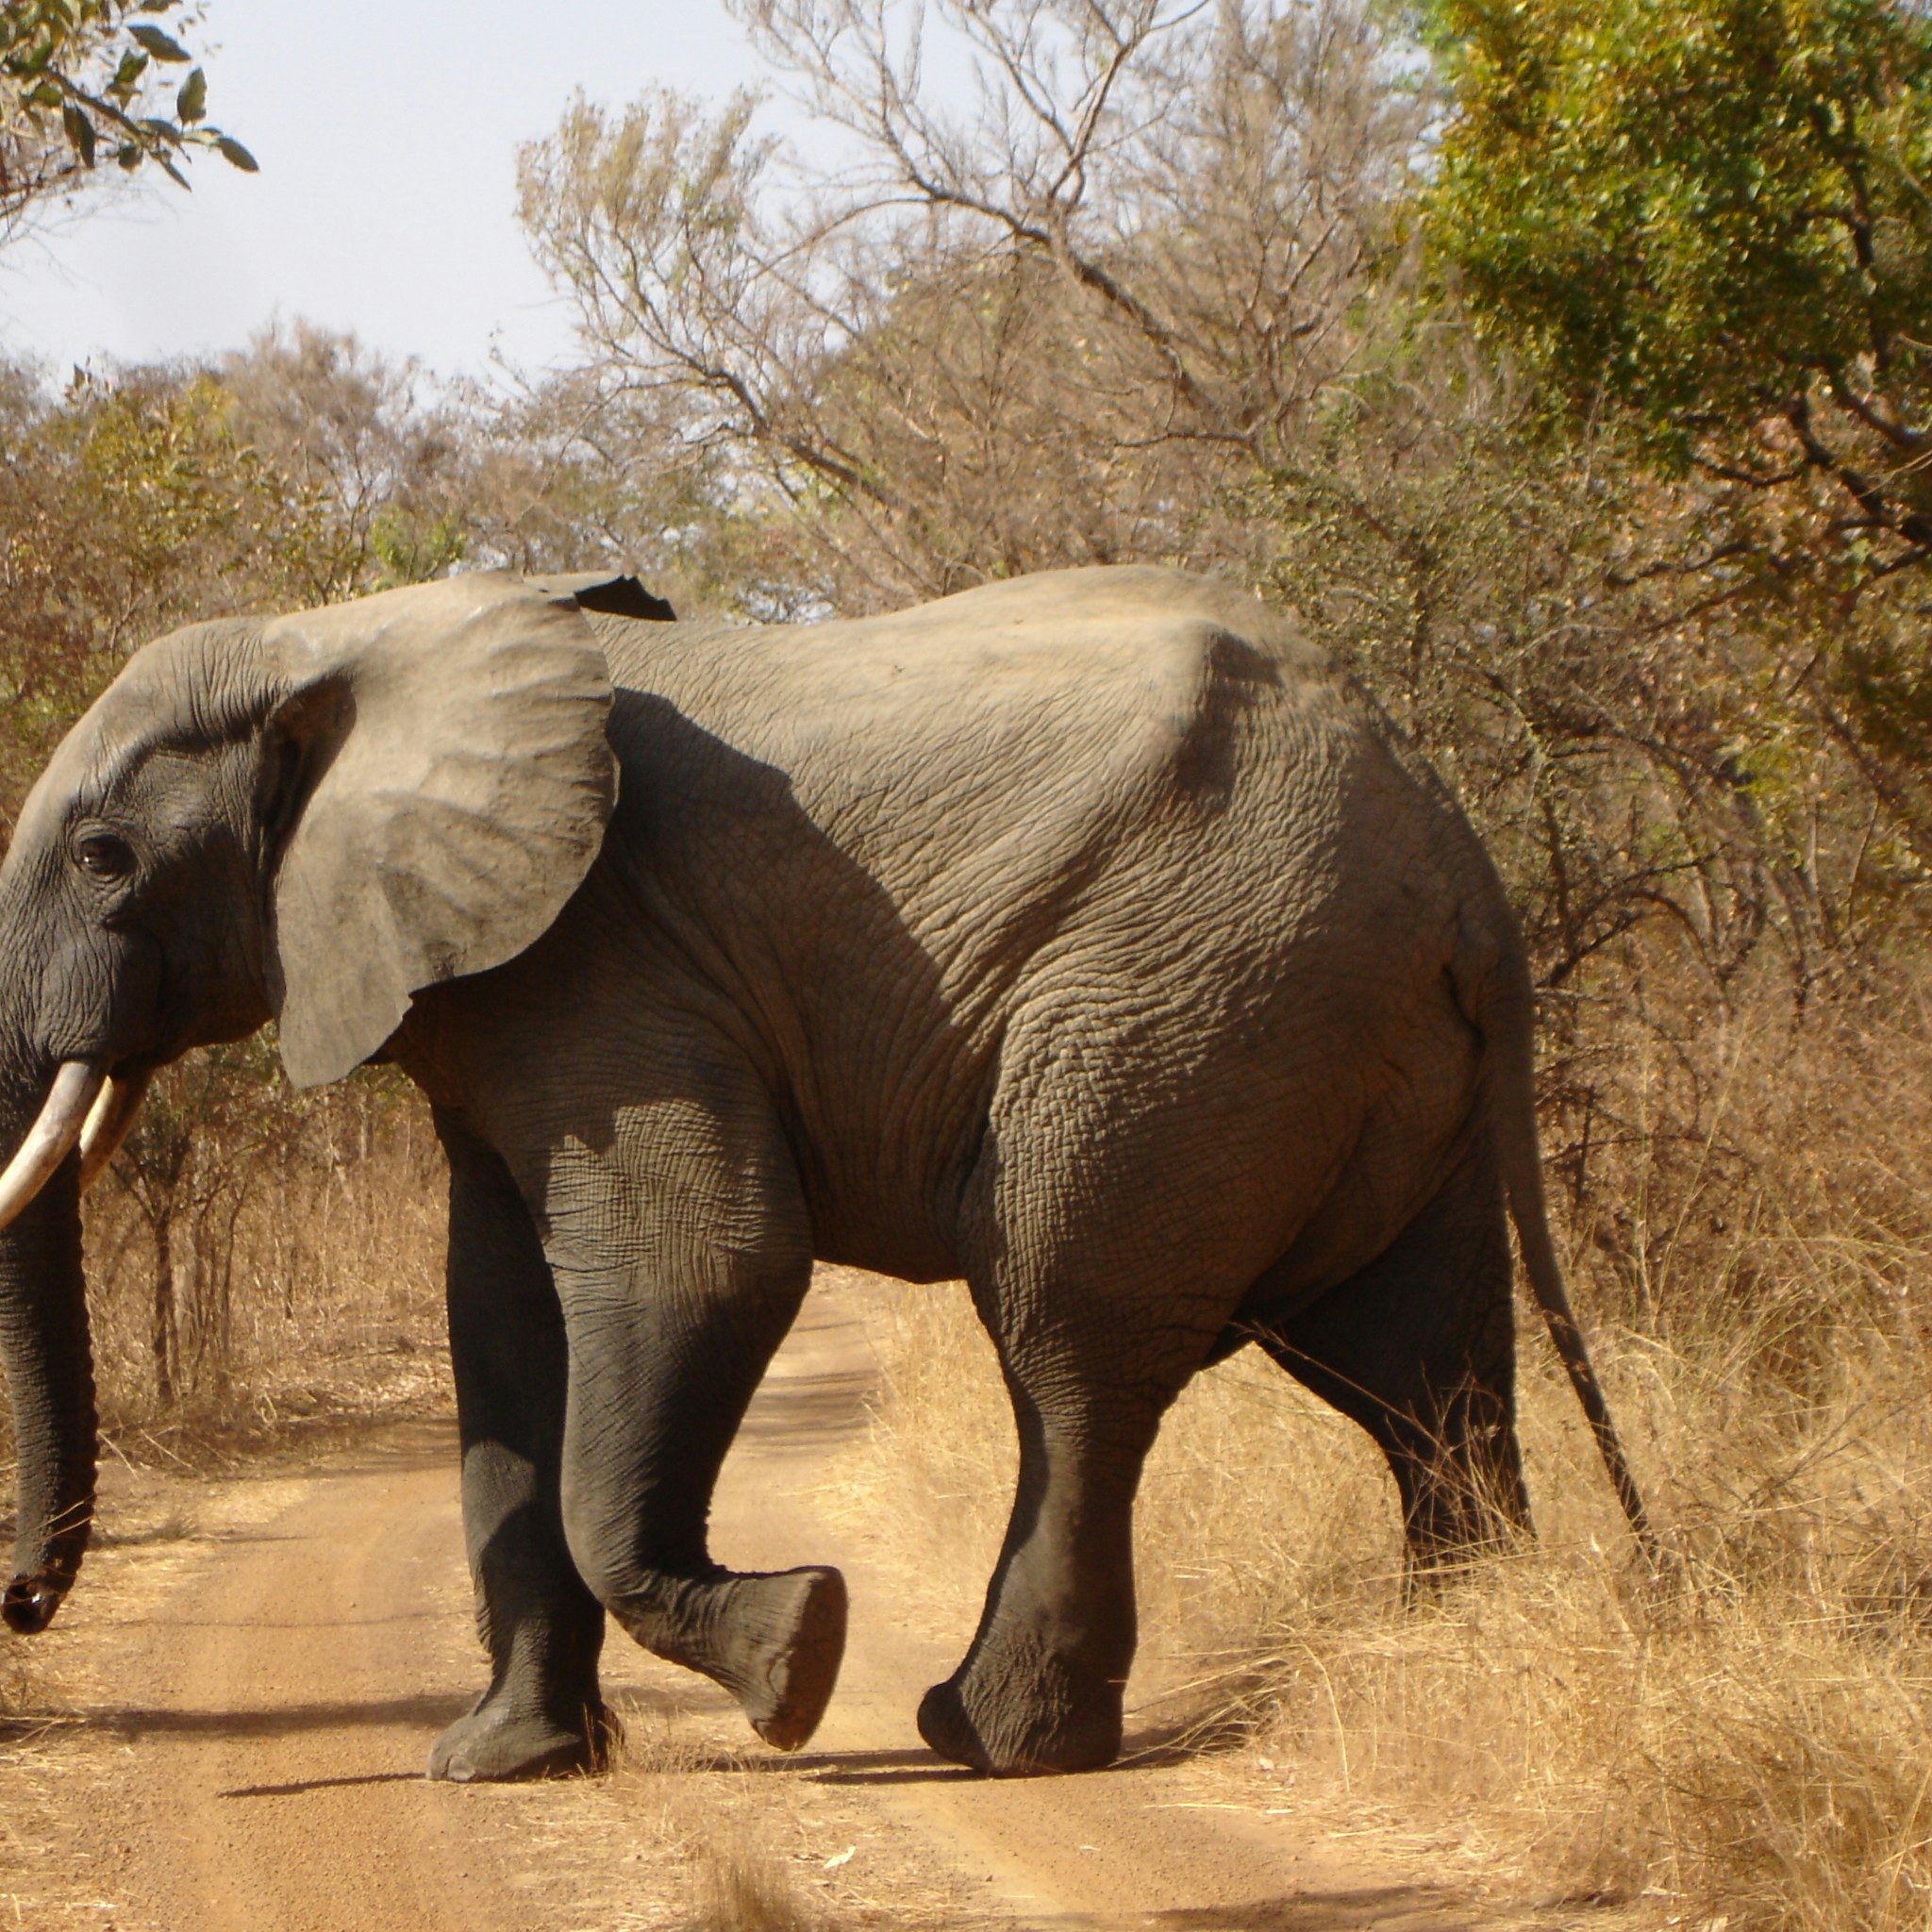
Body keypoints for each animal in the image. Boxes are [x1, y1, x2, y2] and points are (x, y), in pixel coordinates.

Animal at [0, 563, 1651, 1780]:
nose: (22, 1602)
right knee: (1418, 1367)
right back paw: (1459, 1647)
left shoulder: (610, 964)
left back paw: (988, 1742)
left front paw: (795, 1660)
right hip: (1361, 1045)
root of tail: (1463, 863)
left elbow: (708, 1265)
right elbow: (502, 1328)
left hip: (1192, 1005)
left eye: (103, 859)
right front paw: (505, 1767)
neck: (347, 631)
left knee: (1072, 1343)